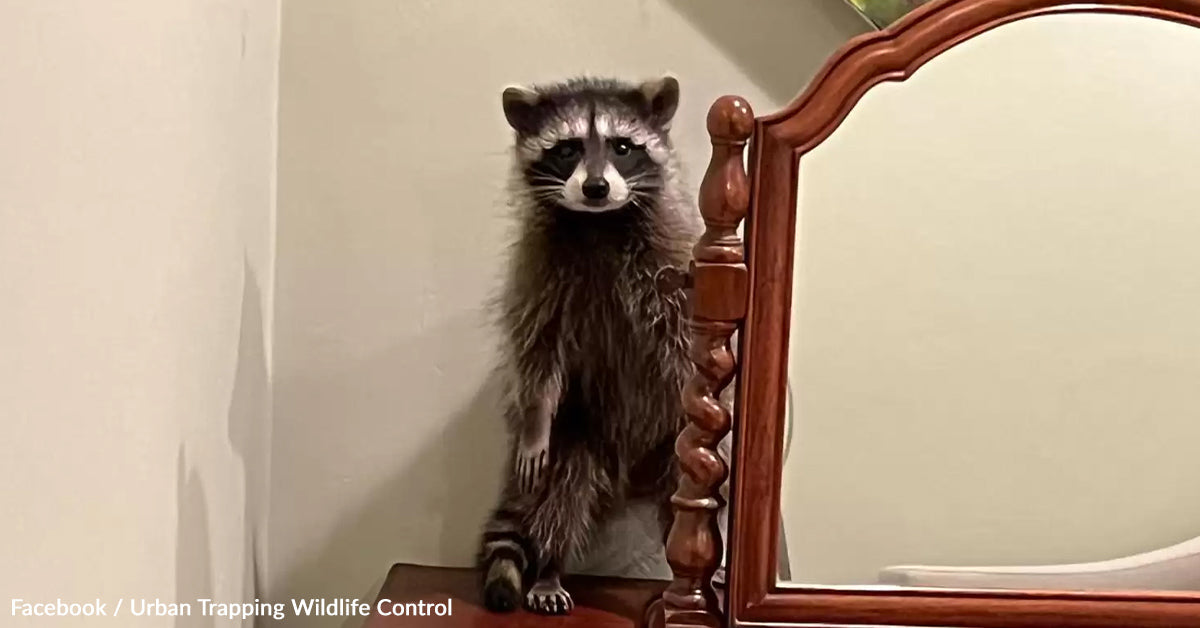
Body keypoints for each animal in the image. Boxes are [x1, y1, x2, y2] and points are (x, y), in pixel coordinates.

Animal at [477, 75, 699, 615]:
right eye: (568, 148)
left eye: (622, 147)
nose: (596, 188)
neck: (600, 222)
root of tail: (630, 475)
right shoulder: (541, 271)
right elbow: (537, 351)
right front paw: (535, 416)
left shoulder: (673, 259)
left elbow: (688, 343)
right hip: (580, 425)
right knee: (564, 492)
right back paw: (550, 570)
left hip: (668, 447)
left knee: (680, 502)